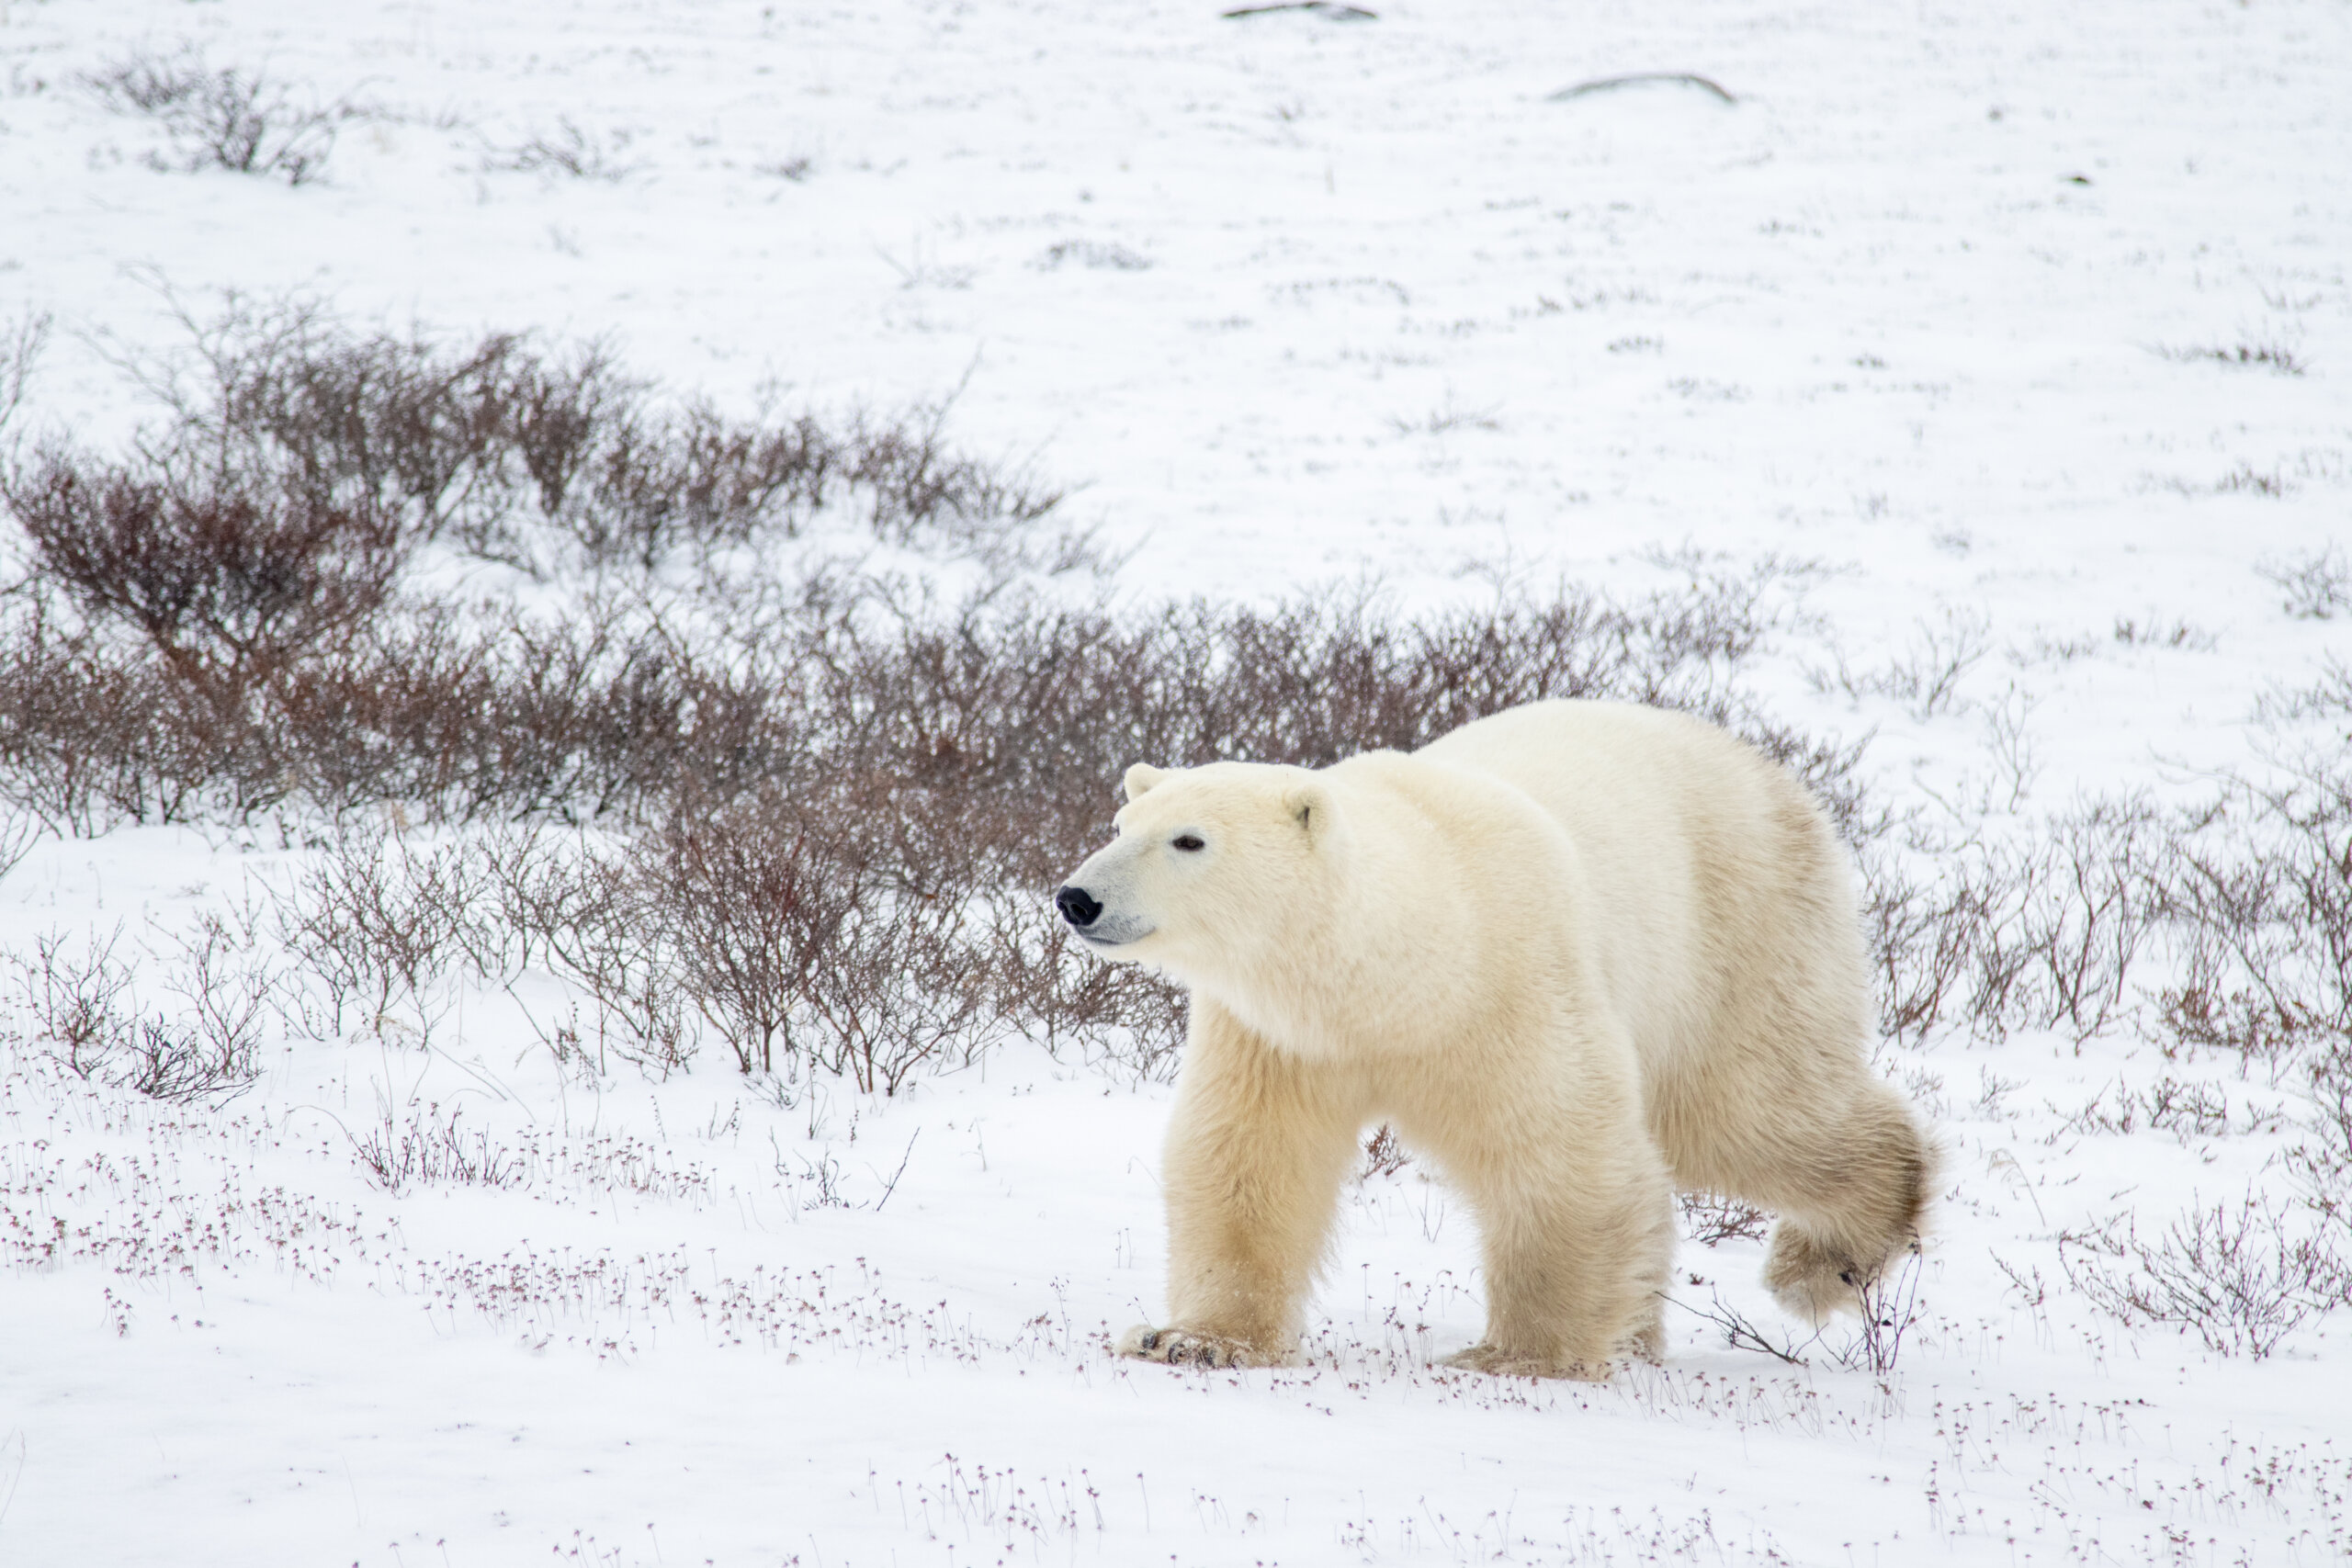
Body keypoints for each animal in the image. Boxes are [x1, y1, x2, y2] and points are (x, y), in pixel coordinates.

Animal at [1052, 698, 1931, 1379]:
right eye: (1122, 821)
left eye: (1189, 839)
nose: (1077, 897)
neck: (1404, 968)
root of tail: (1770, 771)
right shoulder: (1280, 1033)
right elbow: (1250, 1155)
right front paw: (1194, 1338)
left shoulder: (1510, 984)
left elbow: (1558, 1150)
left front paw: (1518, 1353)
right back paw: (1642, 1330)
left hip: (1737, 933)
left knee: (1747, 1113)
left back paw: (1817, 1266)